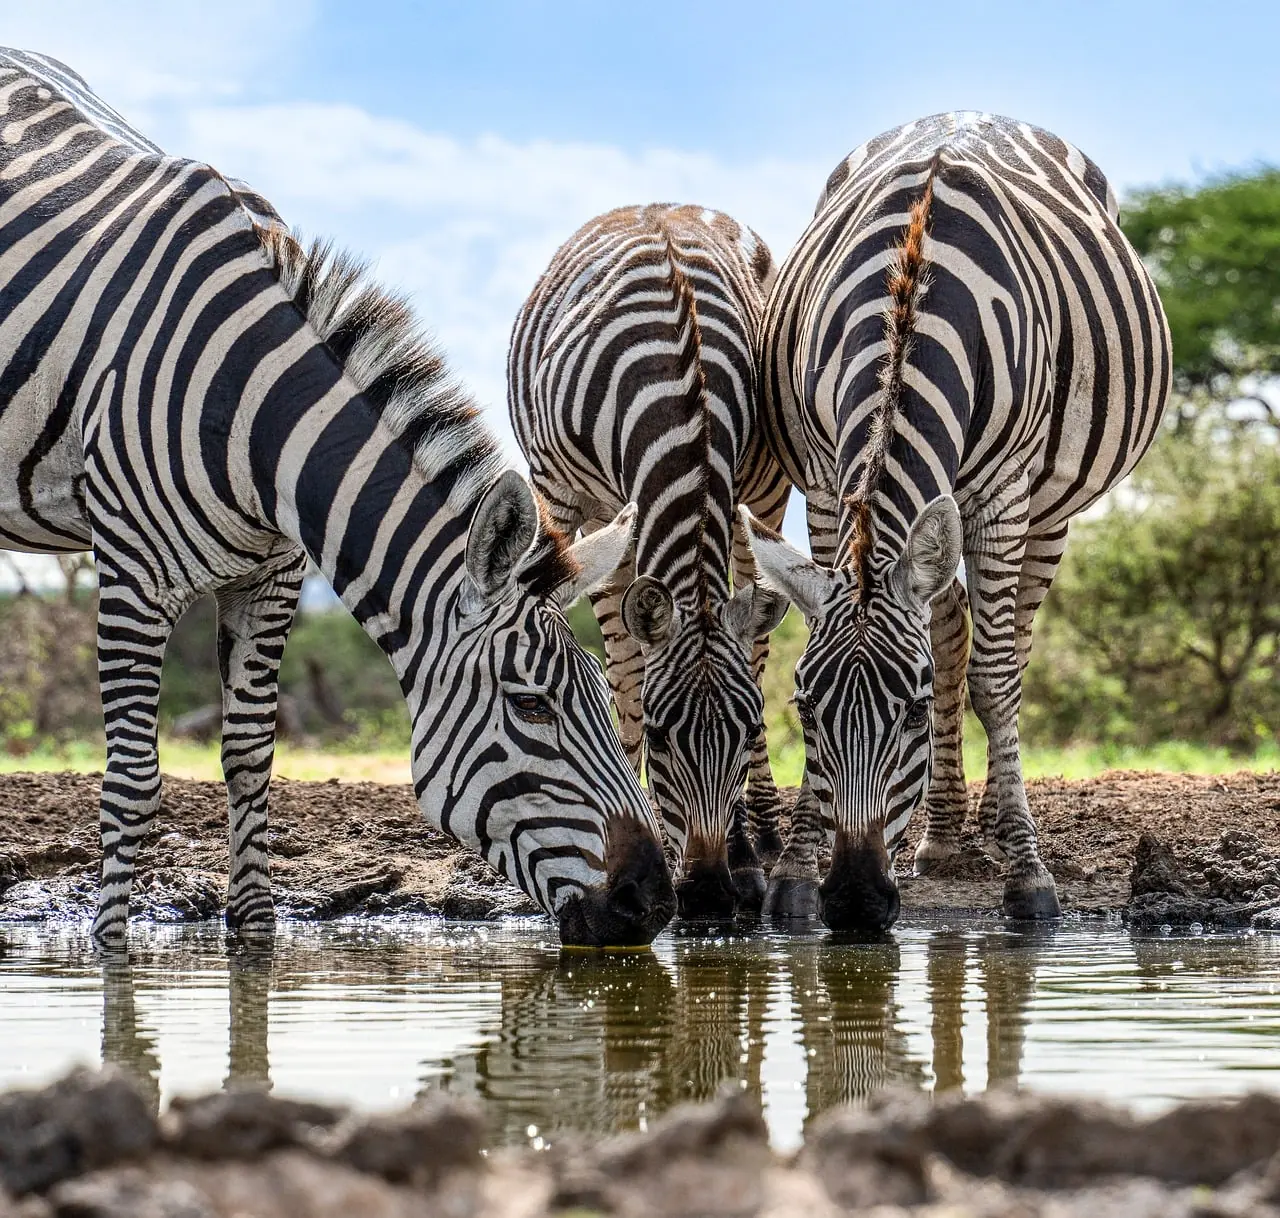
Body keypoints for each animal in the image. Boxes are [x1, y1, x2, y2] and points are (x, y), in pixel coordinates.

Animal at [0, 48, 676, 946]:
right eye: (531, 707)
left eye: (603, 695)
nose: (652, 904)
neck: (253, 416)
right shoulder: (134, 576)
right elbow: (135, 776)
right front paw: (113, 950)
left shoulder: (274, 575)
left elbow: (251, 757)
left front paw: (254, 937)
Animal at [509, 204, 792, 917]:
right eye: (665, 737)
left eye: (749, 723)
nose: (711, 894)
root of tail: (659, 206)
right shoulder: (572, 496)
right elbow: (623, 678)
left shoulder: (755, 488)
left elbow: (748, 655)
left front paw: (745, 852)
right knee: (624, 655)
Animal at [744, 112, 1170, 930]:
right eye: (805, 710)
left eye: (911, 715)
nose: (853, 900)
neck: (914, 295)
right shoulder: (825, 482)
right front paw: (795, 871)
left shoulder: (1004, 494)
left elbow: (994, 683)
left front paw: (1029, 879)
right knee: (947, 629)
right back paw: (941, 834)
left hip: (1048, 508)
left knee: (1010, 648)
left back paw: (996, 824)